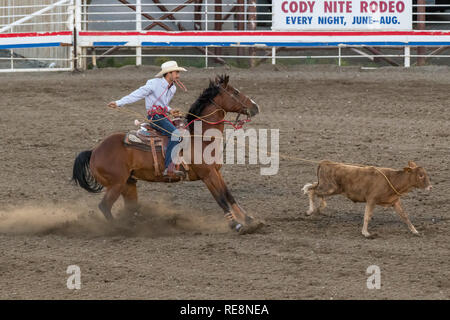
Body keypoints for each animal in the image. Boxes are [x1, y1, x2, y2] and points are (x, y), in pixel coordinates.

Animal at [71, 75, 264, 235]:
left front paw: (249, 220)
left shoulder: (216, 172)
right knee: (104, 206)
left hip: (128, 183)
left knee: (130, 208)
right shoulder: (207, 174)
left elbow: (228, 194)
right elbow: (221, 198)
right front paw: (236, 225)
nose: (255, 106)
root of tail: (94, 151)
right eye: (235, 92)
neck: (200, 137)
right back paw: (120, 229)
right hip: (116, 184)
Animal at [302, 160, 432, 238]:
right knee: (312, 191)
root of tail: (325, 162)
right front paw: (365, 232)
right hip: (329, 188)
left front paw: (415, 231)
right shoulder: (371, 200)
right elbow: (367, 216)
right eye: (421, 175)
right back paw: (310, 210)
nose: (430, 187)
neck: (393, 179)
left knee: (313, 187)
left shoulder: (395, 201)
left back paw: (320, 207)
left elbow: (405, 216)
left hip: (329, 187)